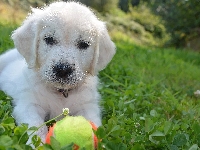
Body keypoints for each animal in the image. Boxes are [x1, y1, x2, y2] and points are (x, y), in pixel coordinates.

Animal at [0, 1, 115, 142]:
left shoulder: (88, 107)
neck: (61, 93)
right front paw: (39, 143)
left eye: (84, 44)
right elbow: (36, 126)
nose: (63, 70)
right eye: (49, 39)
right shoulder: (29, 105)